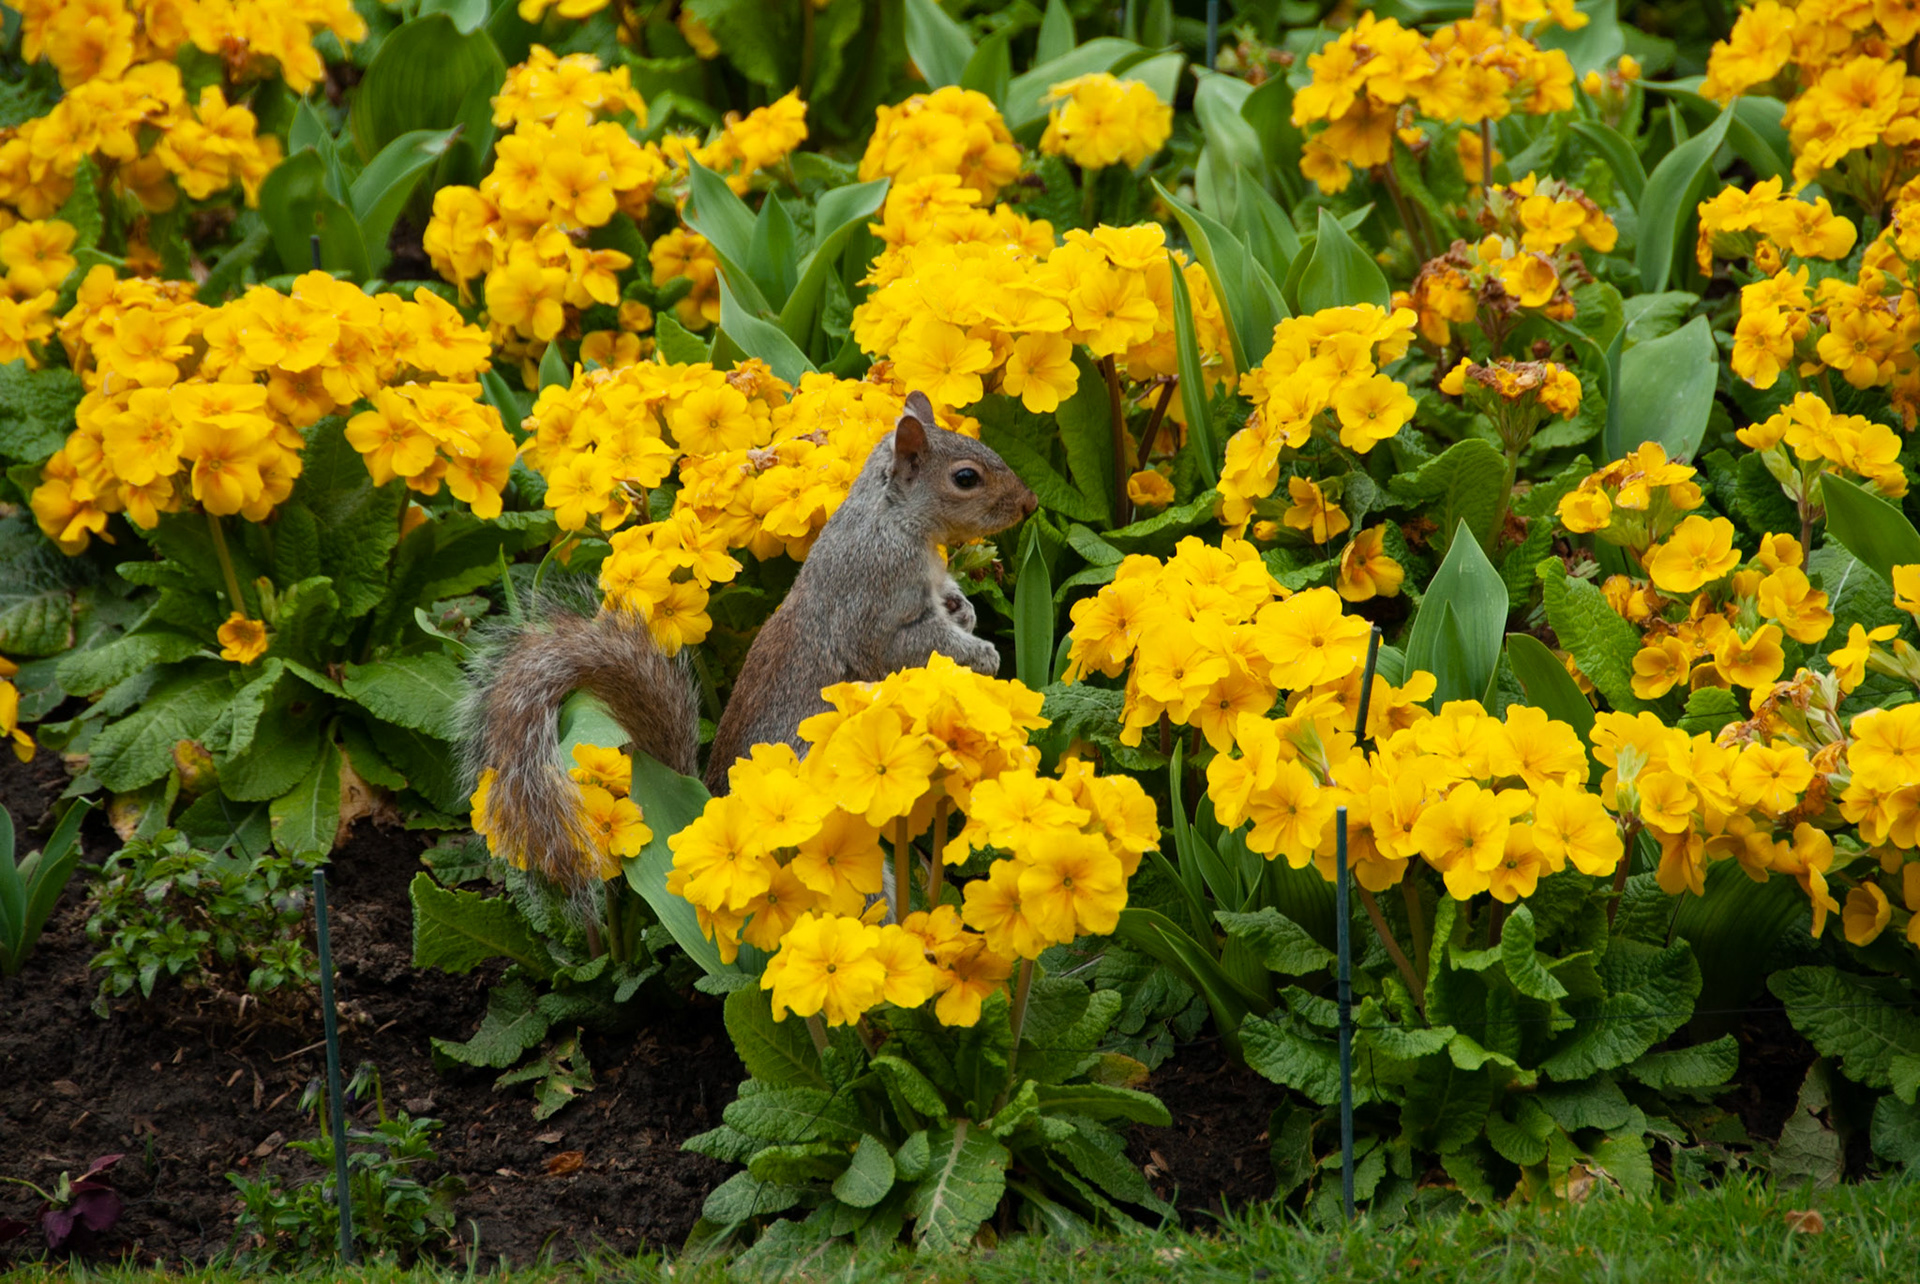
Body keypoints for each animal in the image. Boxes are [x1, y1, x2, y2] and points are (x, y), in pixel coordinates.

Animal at [465, 390, 1038, 893]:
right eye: (966, 478)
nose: (1030, 504)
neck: (891, 519)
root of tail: (704, 811)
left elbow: (948, 605)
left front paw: (966, 613)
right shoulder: (877, 600)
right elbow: (905, 645)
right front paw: (984, 654)